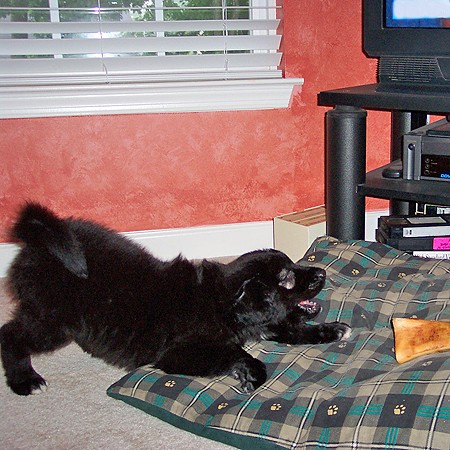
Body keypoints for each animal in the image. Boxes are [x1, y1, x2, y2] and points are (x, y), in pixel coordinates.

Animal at [0, 202, 352, 396]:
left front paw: (332, 329)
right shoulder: (176, 354)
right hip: (52, 321)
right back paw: (24, 380)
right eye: (286, 278)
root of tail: (38, 243)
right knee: (9, 333)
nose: (321, 273)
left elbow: (294, 330)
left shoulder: (265, 325)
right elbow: (233, 352)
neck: (219, 300)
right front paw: (249, 372)